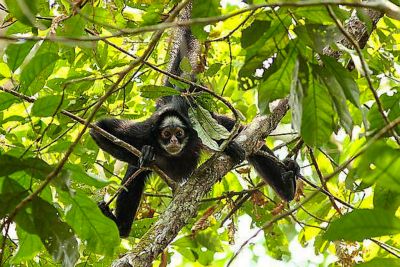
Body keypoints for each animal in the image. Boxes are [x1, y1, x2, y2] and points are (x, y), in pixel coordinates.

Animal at [90, 3, 296, 239]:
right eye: (166, 134)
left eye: (179, 134)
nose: (173, 142)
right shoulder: (144, 131)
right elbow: (99, 129)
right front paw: (147, 154)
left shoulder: (194, 126)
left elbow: (238, 132)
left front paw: (230, 147)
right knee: (135, 170)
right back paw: (121, 227)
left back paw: (288, 186)